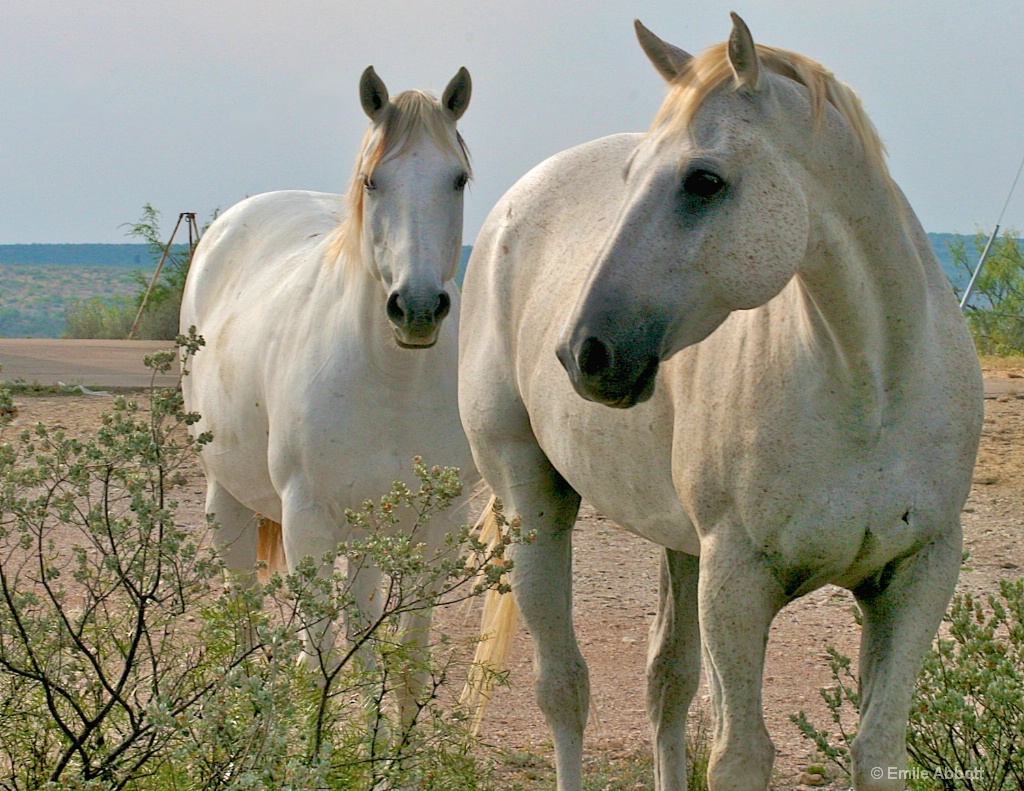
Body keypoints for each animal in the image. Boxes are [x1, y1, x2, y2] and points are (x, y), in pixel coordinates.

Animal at [181, 64, 475, 721]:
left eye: (458, 179)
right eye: (372, 180)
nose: (417, 309)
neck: (393, 381)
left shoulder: (436, 529)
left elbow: (401, 668)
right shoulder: (308, 520)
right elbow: (316, 668)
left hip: (364, 537)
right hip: (229, 502)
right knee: (245, 622)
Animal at [458, 15, 983, 790]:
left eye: (703, 181)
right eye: (629, 178)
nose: (584, 351)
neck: (870, 386)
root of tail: (506, 214)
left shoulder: (916, 574)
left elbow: (878, 746)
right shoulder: (737, 579)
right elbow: (740, 753)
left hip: (680, 546)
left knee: (666, 686)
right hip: (536, 505)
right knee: (564, 689)